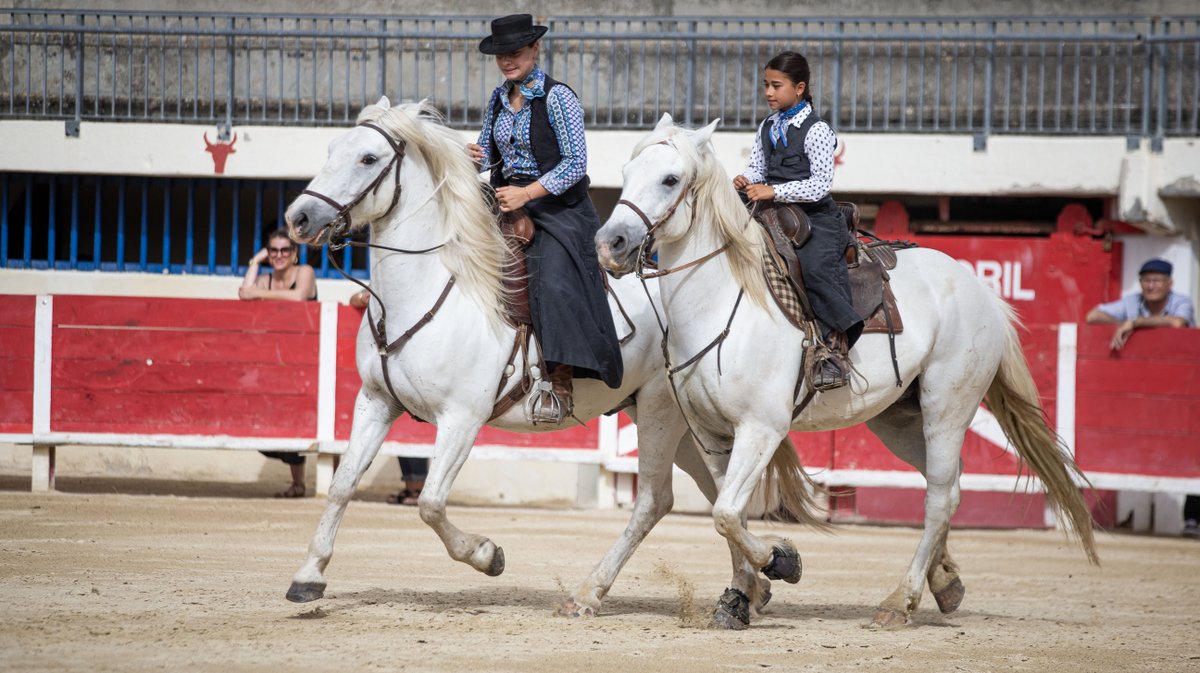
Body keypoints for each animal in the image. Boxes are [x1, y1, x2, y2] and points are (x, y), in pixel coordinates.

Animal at [278, 97, 806, 619]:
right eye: (330, 148)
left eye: (368, 158)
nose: (299, 218)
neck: (432, 287)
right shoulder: (375, 401)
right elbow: (343, 483)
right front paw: (308, 576)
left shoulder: (461, 417)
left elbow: (430, 502)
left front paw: (488, 555)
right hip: (688, 428)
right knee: (719, 494)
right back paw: (753, 584)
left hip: (665, 413)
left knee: (667, 500)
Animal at [592, 113, 1099, 628]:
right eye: (626, 171)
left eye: (670, 179)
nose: (610, 244)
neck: (721, 300)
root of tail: (982, 291)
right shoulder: (710, 432)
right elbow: (726, 511)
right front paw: (737, 598)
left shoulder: (761, 428)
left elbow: (727, 514)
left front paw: (782, 562)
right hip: (899, 419)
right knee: (948, 481)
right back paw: (944, 582)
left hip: (947, 409)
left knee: (941, 496)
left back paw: (901, 600)